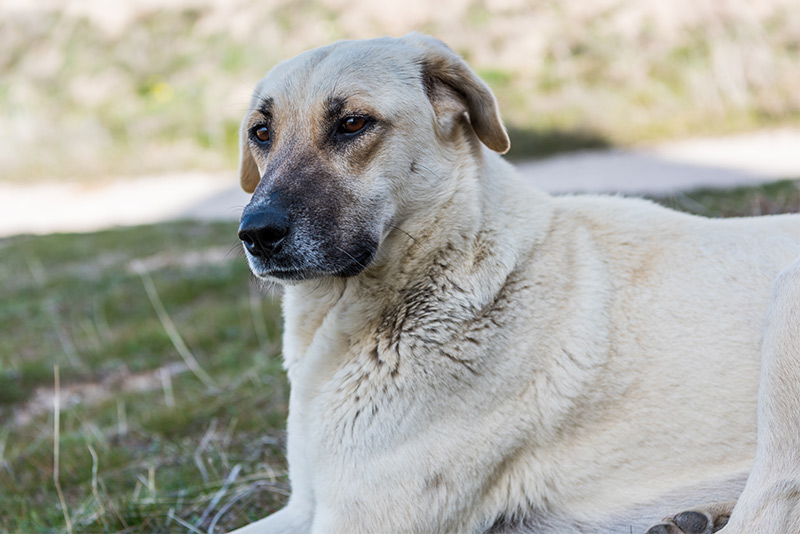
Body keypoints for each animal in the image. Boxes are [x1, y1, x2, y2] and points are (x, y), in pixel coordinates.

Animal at [228, 34, 800, 534]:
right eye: (261, 133)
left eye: (351, 123)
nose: (255, 233)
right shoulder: (305, 506)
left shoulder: (360, 518)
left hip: (787, 302)